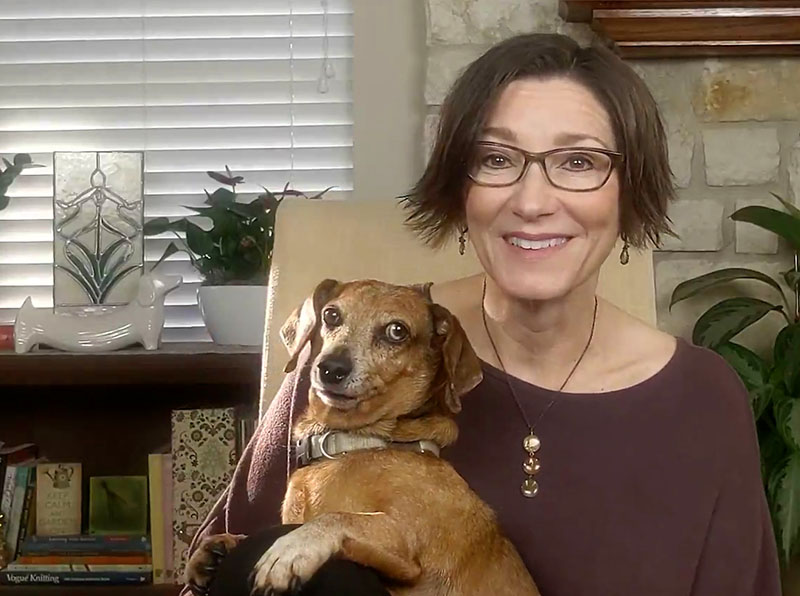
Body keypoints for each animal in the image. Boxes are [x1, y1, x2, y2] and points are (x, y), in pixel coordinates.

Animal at [186, 280, 536, 596]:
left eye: (397, 331)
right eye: (331, 315)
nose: (330, 368)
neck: (351, 444)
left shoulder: (405, 540)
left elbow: (339, 518)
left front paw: (292, 548)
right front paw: (219, 546)